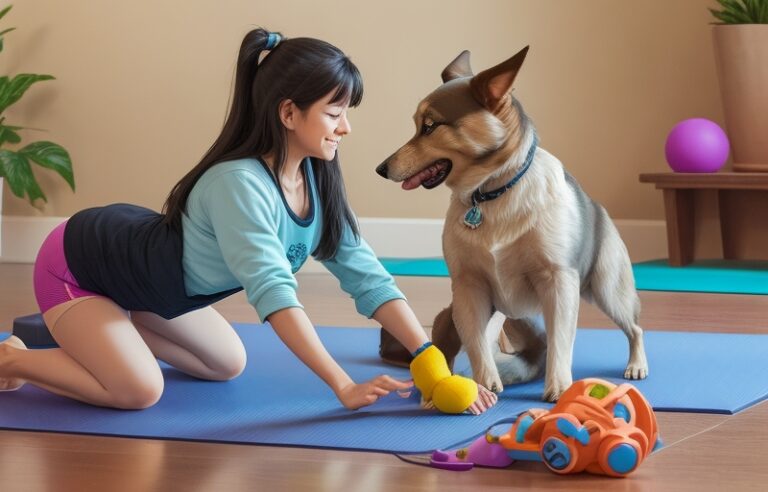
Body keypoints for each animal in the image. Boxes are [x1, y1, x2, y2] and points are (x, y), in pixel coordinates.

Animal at [376, 46, 648, 402]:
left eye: (431, 126)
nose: (381, 168)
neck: (491, 192)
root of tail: (599, 208)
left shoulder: (558, 281)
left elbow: (561, 341)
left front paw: (559, 387)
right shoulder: (469, 285)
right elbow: (476, 343)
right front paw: (481, 385)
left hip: (607, 288)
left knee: (635, 327)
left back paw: (636, 364)